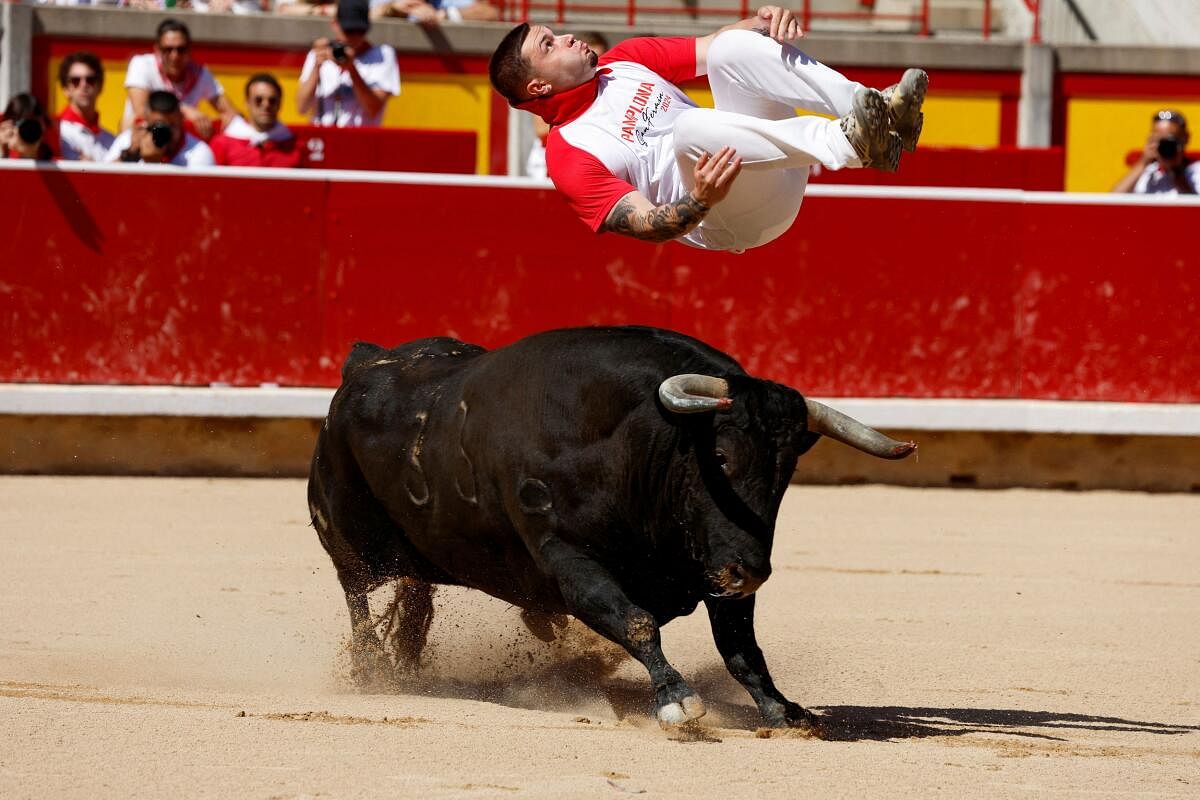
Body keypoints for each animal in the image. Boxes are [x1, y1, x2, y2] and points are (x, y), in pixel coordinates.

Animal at [304, 326, 912, 734]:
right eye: (720, 454)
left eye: (787, 470)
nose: (751, 571)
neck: (635, 442)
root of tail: (364, 364)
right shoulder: (569, 560)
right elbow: (635, 621)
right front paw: (675, 700)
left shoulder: (709, 567)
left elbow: (742, 647)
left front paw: (783, 710)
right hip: (347, 536)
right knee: (356, 593)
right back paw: (373, 671)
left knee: (416, 592)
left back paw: (409, 661)